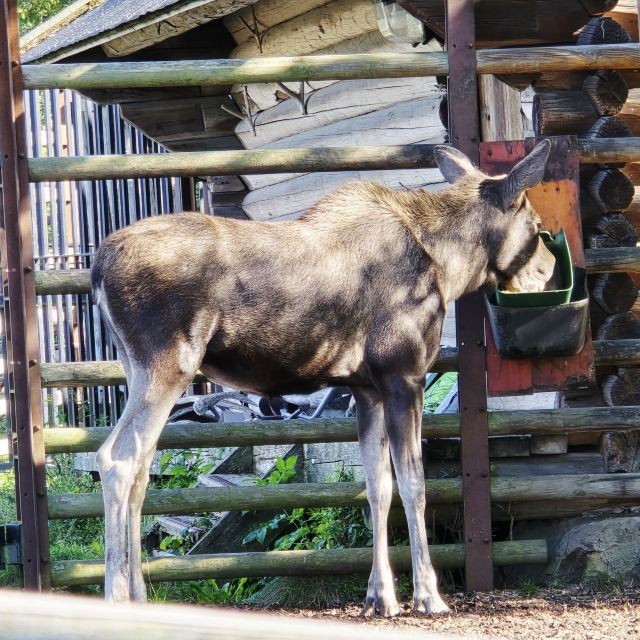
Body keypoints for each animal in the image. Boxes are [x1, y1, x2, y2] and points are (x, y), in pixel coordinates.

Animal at [91, 139, 554, 616]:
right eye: (538, 226)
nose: (549, 272)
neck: (450, 266)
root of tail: (98, 268)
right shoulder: (402, 377)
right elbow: (414, 485)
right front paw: (427, 594)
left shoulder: (367, 390)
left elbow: (376, 488)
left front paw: (380, 596)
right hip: (168, 366)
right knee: (116, 459)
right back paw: (115, 600)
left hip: (136, 369)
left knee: (142, 470)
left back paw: (140, 597)